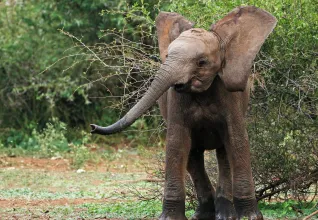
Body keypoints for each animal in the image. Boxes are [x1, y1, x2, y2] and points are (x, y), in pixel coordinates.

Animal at [90, 5, 278, 220]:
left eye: (202, 62)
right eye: (167, 56)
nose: (92, 126)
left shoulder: (230, 96)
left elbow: (237, 141)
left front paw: (250, 217)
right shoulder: (176, 100)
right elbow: (177, 142)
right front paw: (169, 218)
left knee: (223, 153)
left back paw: (225, 215)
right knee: (193, 156)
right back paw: (203, 214)